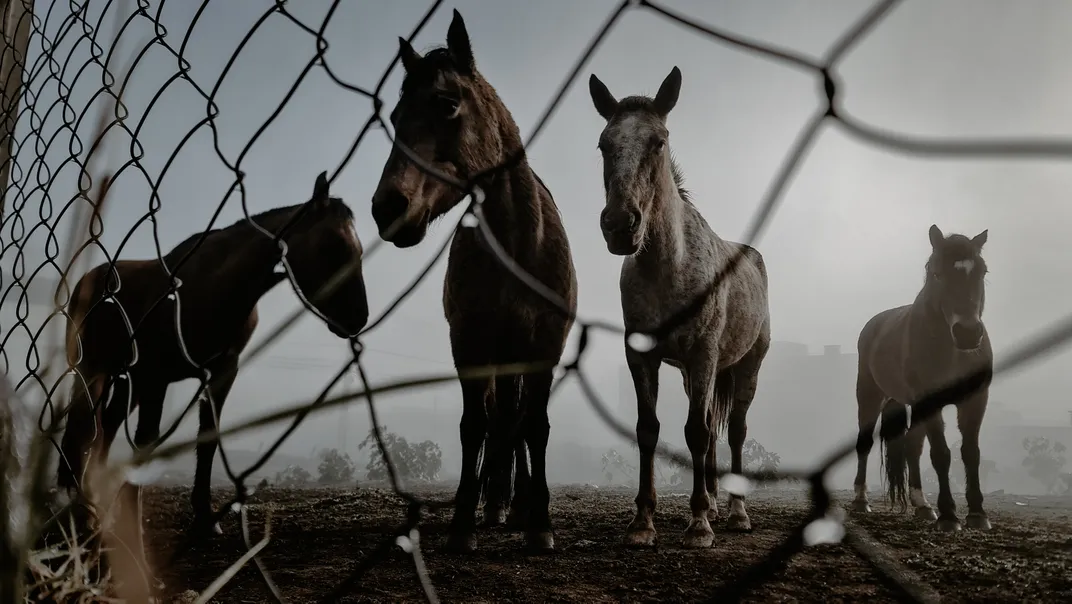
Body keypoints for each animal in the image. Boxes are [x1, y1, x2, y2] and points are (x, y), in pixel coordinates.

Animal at [58, 173, 368, 534]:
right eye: (333, 245)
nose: (359, 318)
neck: (216, 286)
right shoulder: (157, 376)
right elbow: (145, 442)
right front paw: (133, 521)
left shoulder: (221, 372)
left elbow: (207, 440)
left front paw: (205, 516)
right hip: (95, 370)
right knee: (83, 428)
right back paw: (83, 507)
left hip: (125, 379)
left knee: (105, 427)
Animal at [373, 8, 583, 553]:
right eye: (394, 118)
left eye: (446, 104)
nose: (387, 208)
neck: (517, 245)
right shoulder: (468, 342)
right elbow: (475, 426)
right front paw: (464, 522)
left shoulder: (545, 346)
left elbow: (534, 427)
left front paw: (539, 524)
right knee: (497, 421)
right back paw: (496, 505)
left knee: (516, 424)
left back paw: (517, 504)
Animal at [587, 66, 771, 549]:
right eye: (604, 144)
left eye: (659, 141)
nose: (620, 225)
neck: (667, 267)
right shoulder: (642, 356)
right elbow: (648, 430)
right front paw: (642, 522)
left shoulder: (704, 355)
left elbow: (697, 432)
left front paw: (700, 525)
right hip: (693, 375)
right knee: (708, 430)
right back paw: (711, 502)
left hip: (745, 366)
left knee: (733, 431)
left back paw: (735, 513)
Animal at [853, 224, 994, 532]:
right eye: (937, 273)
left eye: (982, 272)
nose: (968, 333)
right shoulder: (930, 402)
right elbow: (941, 454)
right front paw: (949, 516)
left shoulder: (975, 401)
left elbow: (971, 452)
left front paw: (978, 513)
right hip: (869, 395)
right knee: (865, 443)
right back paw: (861, 500)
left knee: (911, 447)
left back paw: (922, 505)